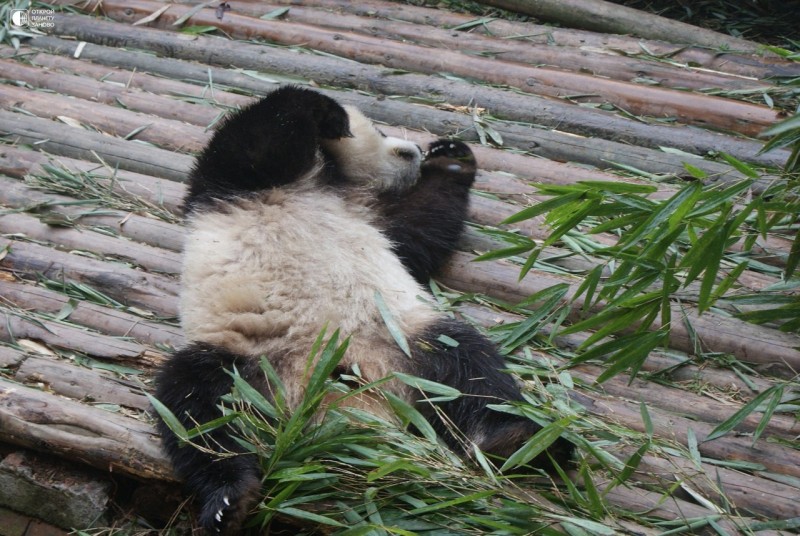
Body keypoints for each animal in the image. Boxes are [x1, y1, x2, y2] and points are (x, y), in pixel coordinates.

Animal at [153, 86, 572, 532]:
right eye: (384, 130)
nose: (412, 152)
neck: (330, 178)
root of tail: (346, 401)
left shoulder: (371, 216)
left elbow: (418, 229)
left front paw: (451, 156)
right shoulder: (239, 184)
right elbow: (258, 140)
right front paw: (331, 116)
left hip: (405, 339)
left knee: (470, 367)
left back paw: (515, 441)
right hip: (244, 362)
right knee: (195, 409)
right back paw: (228, 499)